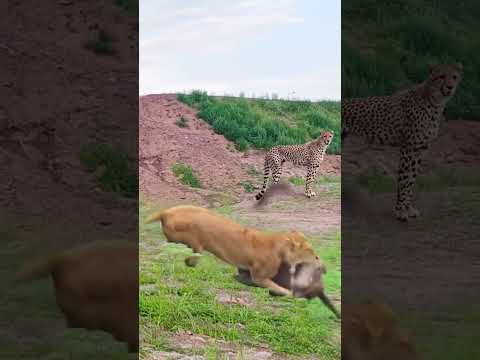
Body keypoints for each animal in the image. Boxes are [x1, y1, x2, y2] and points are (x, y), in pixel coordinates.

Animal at [344, 63, 464, 221]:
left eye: (454, 77)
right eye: (441, 76)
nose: (450, 87)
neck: (435, 101)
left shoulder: (420, 148)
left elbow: (411, 179)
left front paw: (408, 208)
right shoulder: (409, 147)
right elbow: (405, 179)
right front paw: (401, 211)